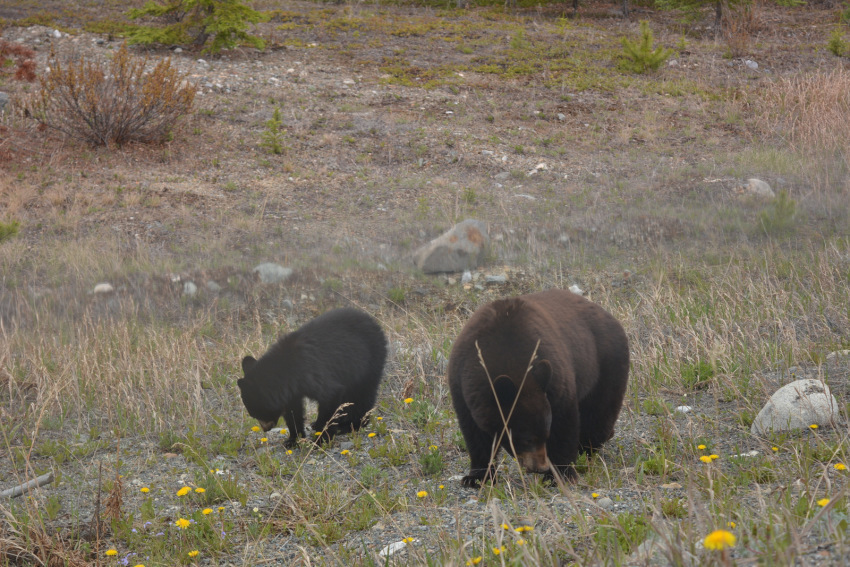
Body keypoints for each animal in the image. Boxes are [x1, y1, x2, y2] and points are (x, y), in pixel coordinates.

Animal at [237, 310, 386, 448]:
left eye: (256, 413)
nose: (265, 429)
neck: (288, 371)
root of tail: (373, 322)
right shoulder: (292, 391)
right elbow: (293, 412)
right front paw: (293, 439)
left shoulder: (311, 373)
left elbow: (330, 396)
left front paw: (321, 440)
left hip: (368, 362)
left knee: (362, 395)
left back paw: (351, 425)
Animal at [448, 290, 628, 486]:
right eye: (527, 438)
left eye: (545, 434)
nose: (540, 467)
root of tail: (611, 317)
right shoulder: (462, 384)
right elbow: (475, 434)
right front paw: (477, 477)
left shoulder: (555, 377)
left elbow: (563, 422)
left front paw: (560, 474)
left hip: (605, 366)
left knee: (598, 415)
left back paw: (587, 448)